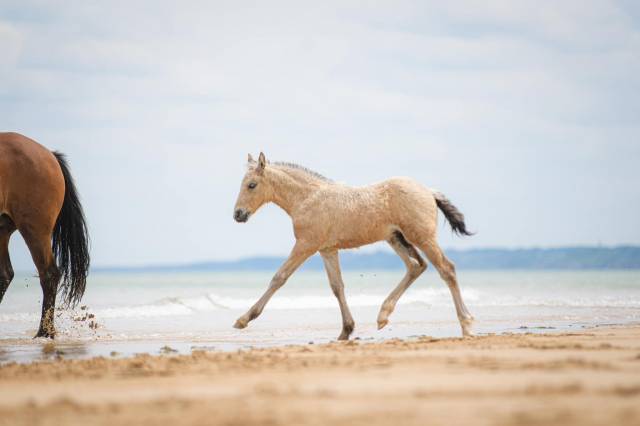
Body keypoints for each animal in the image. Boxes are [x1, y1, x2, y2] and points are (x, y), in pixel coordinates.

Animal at [0, 131, 90, 338]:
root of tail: (49, 154)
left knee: (49, 274)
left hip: (34, 228)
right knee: (5, 274)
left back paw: (45, 332)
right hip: (3, 229)